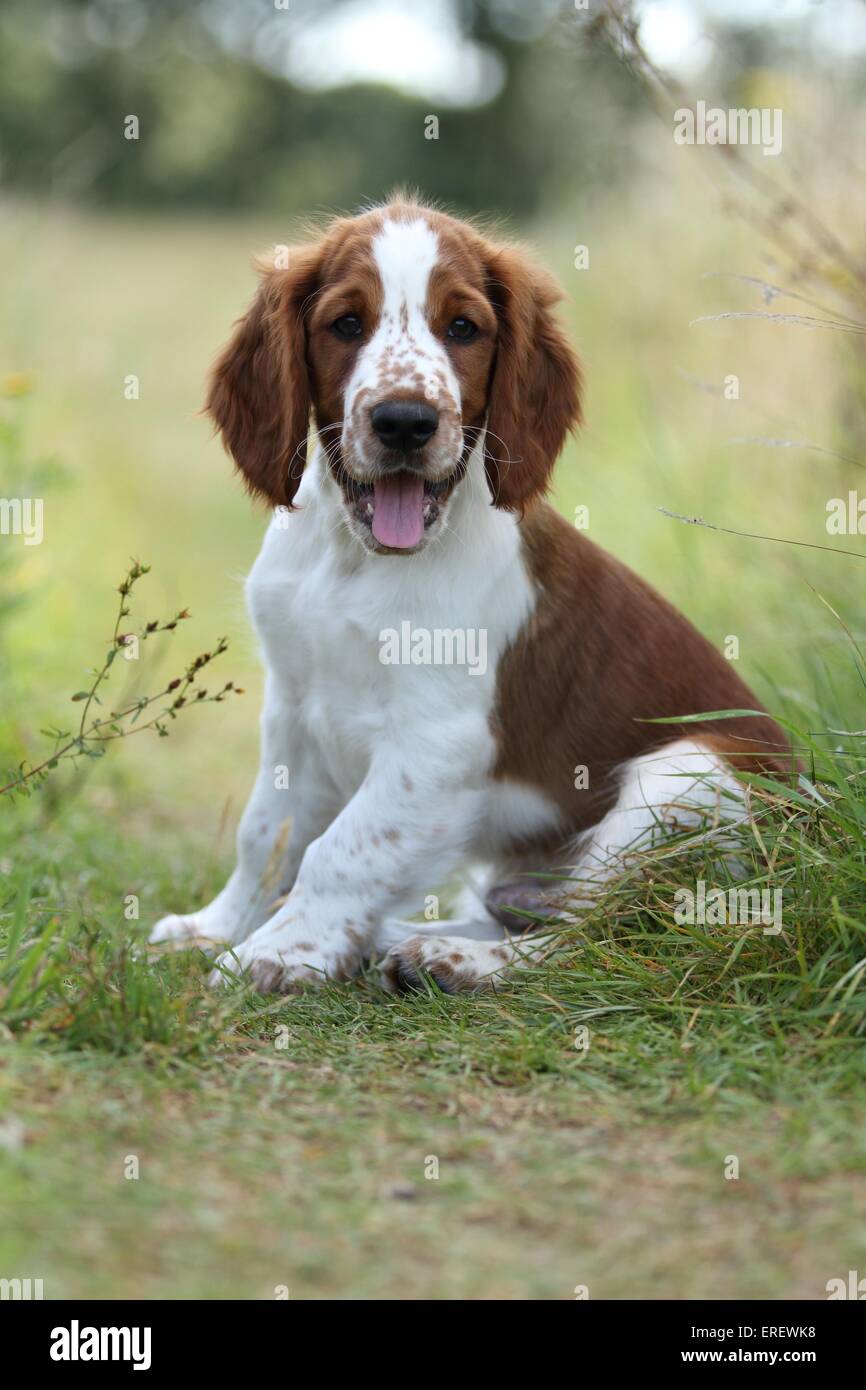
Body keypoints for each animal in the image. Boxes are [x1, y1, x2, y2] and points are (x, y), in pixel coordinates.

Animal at [150, 198, 795, 1000]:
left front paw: (276, 952)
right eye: (346, 324)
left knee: (598, 938)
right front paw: (216, 928)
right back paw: (398, 937)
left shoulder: (438, 739)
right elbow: (267, 830)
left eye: (462, 328)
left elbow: (345, 847)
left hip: (685, 776)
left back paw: (446, 959)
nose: (404, 422)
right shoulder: (293, 706)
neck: (353, 560)